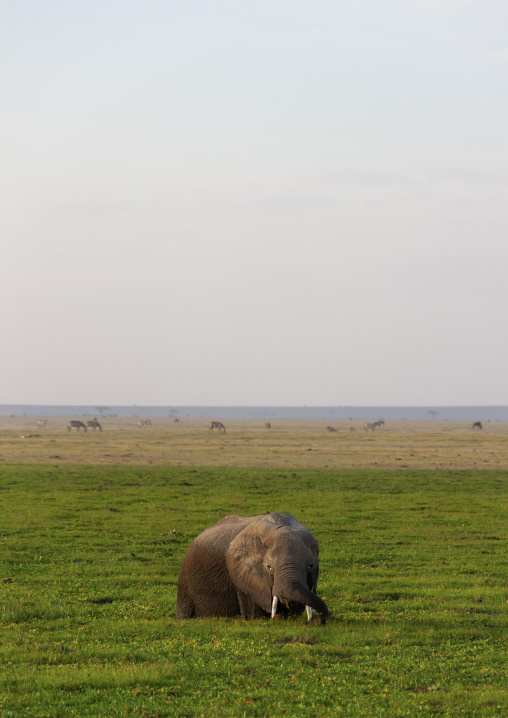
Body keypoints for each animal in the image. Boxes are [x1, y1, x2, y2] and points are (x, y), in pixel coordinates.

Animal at [176, 512, 329, 624]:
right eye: (269, 568)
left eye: (310, 567)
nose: (317, 621)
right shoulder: (245, 576)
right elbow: (254, 616)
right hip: (185, 579)